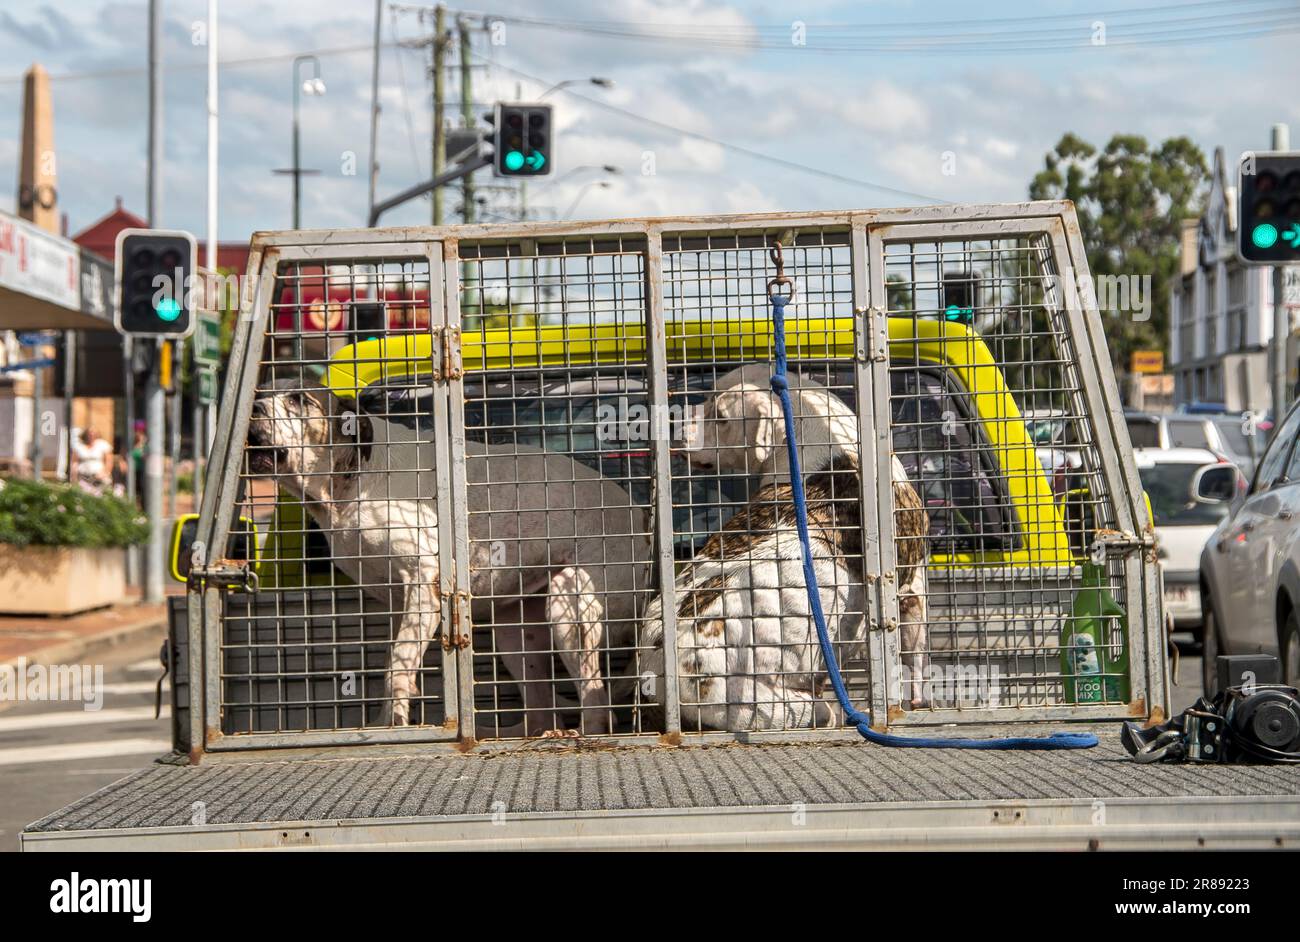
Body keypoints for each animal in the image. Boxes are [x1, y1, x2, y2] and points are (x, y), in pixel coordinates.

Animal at [245, 381, 650, 732]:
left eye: (299, 399)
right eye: (262, 392)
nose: (253, 408)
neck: (352, 478)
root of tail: (641, 521)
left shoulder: (422, 583)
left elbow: (397, 665)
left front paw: (395, 726)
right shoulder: (398, 600)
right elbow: (395, 659)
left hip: (571, 607)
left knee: (597, 700)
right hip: (516, 632)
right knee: (541, 703)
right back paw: (539, 733)